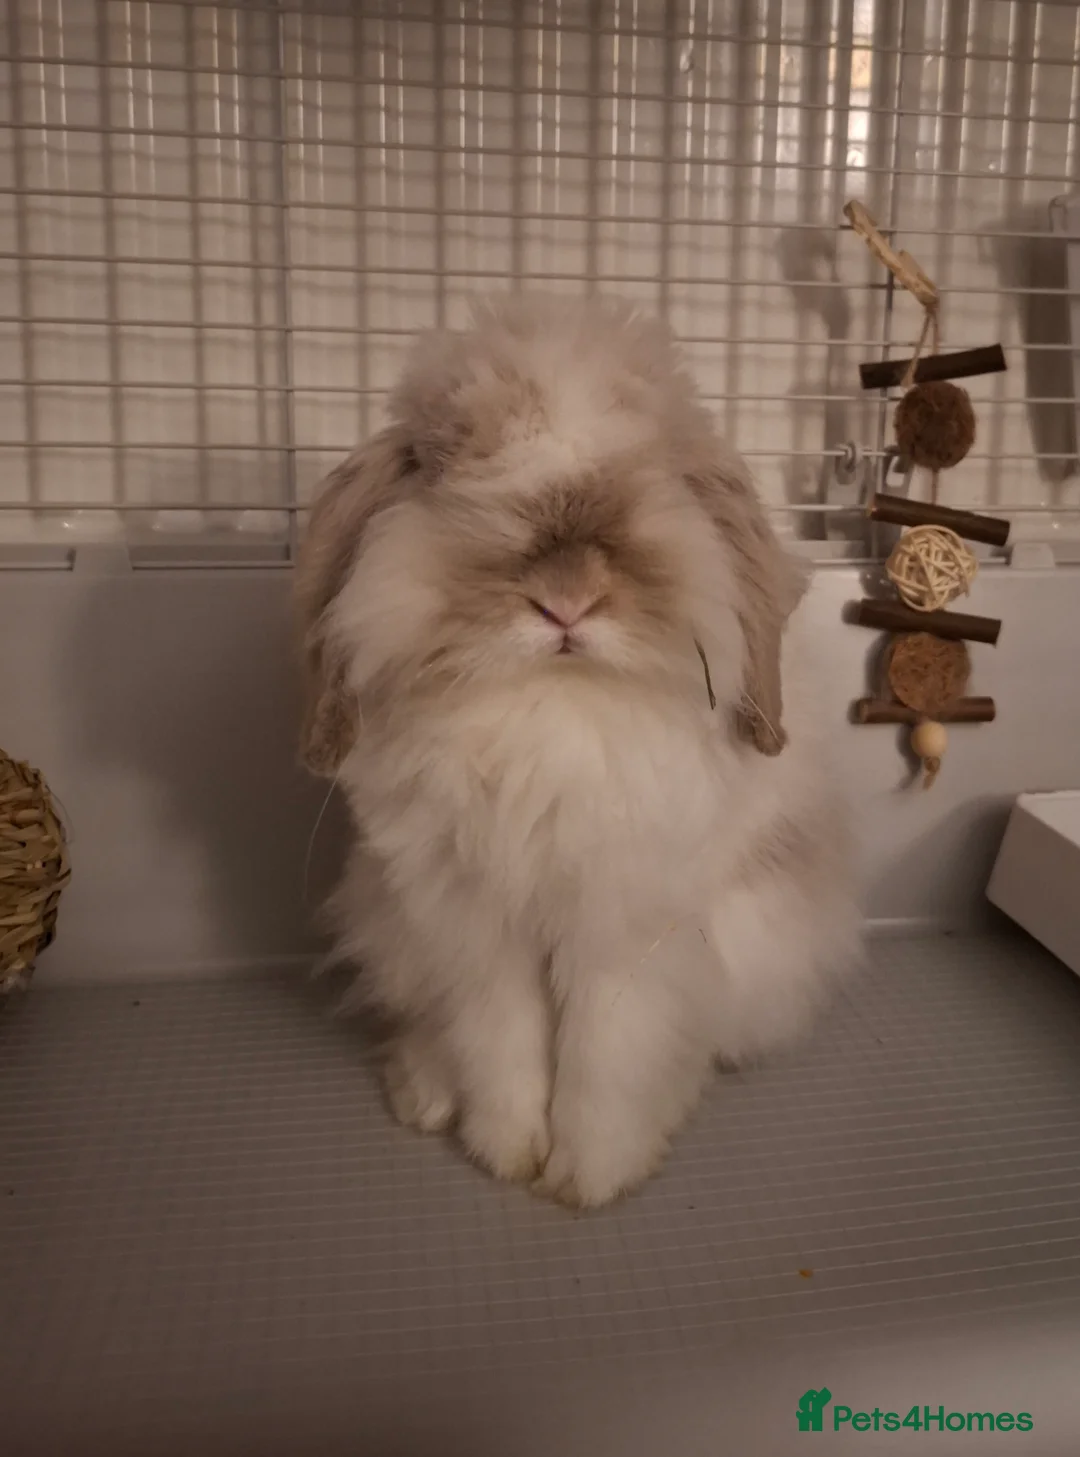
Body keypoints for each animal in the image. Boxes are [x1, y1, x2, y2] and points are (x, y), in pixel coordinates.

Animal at [295, 294, 859, 1209]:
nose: (566, 598)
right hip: (391, 925)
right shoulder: (473, 926)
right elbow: (501, 1041)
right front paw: (507, 1150)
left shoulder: (625, 930)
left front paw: (588, 1177)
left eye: (656, 472)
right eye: (438, 464)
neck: (553, 703)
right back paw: (425, 1092)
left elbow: (607, 1052)